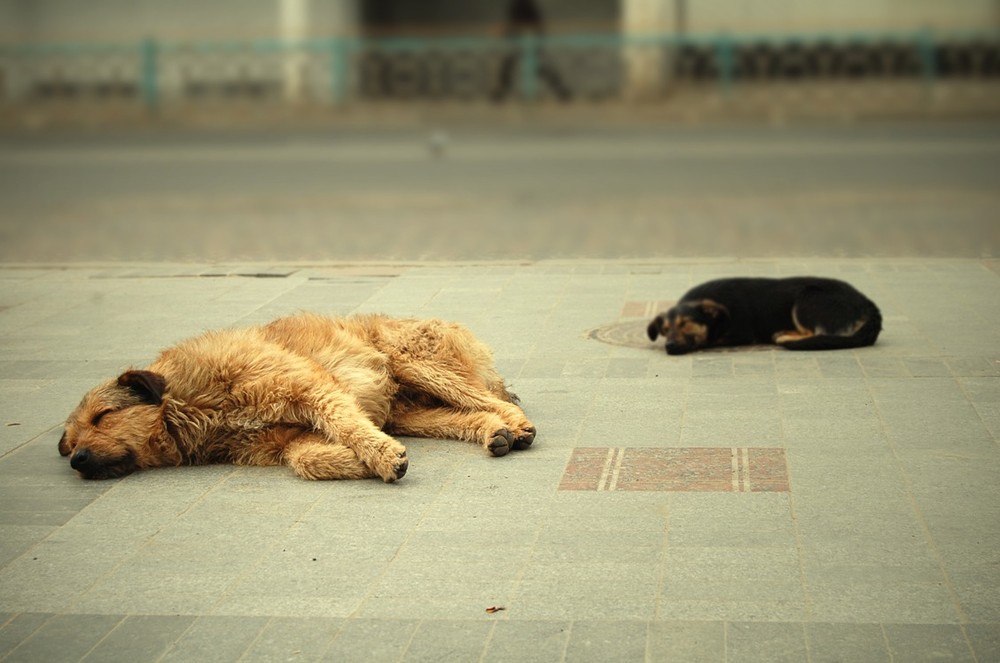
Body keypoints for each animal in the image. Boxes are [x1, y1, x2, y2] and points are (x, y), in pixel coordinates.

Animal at [58, 316, 536, 482]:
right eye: (72, 439)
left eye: (103, 416)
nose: (76, 459)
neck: (189, 404)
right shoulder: (285, 439)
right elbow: (306, 459)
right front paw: (367, 462)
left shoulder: (308, 386)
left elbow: (343, 423)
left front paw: (381, 456)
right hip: (413, 413)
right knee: (467, 415)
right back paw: (496, 434)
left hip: (417, 362)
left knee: (492, 400)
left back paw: (516, 424)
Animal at [644, 278, 880, 356]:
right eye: (665, 330)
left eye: (686, 324)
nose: (669, 346)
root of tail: (869, 303)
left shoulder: (741, 334)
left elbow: (709, 339)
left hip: (807, 297)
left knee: (820, 333)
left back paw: (786, 336)